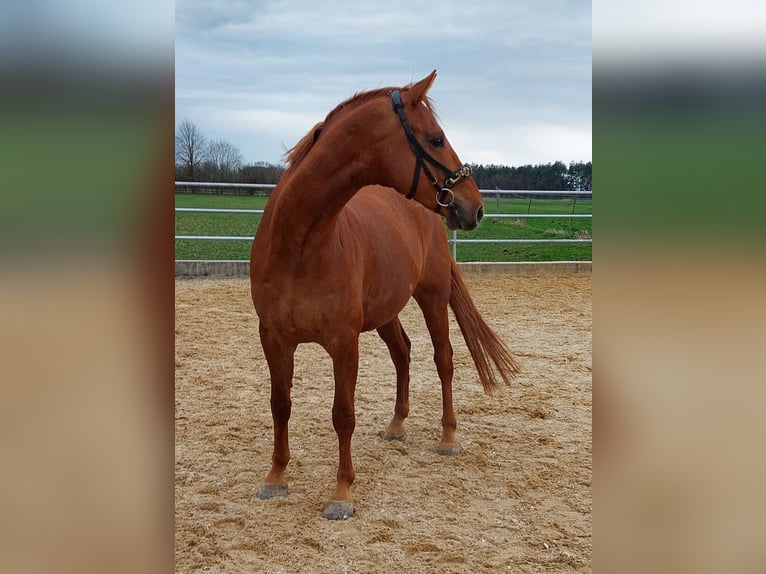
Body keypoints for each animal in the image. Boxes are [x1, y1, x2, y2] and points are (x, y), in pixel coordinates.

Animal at [250, 71, 520, 520]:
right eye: (435, 139)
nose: (476, 207)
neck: (300, 245)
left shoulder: (344, 342)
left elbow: (343, 414)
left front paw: (341, 493)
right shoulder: (273, 338)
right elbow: (279, 404)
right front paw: (275, 478)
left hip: (432, 297)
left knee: (443, 359)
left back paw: (448, 438)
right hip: (386, 311)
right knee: (402, 352)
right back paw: (397, 425)